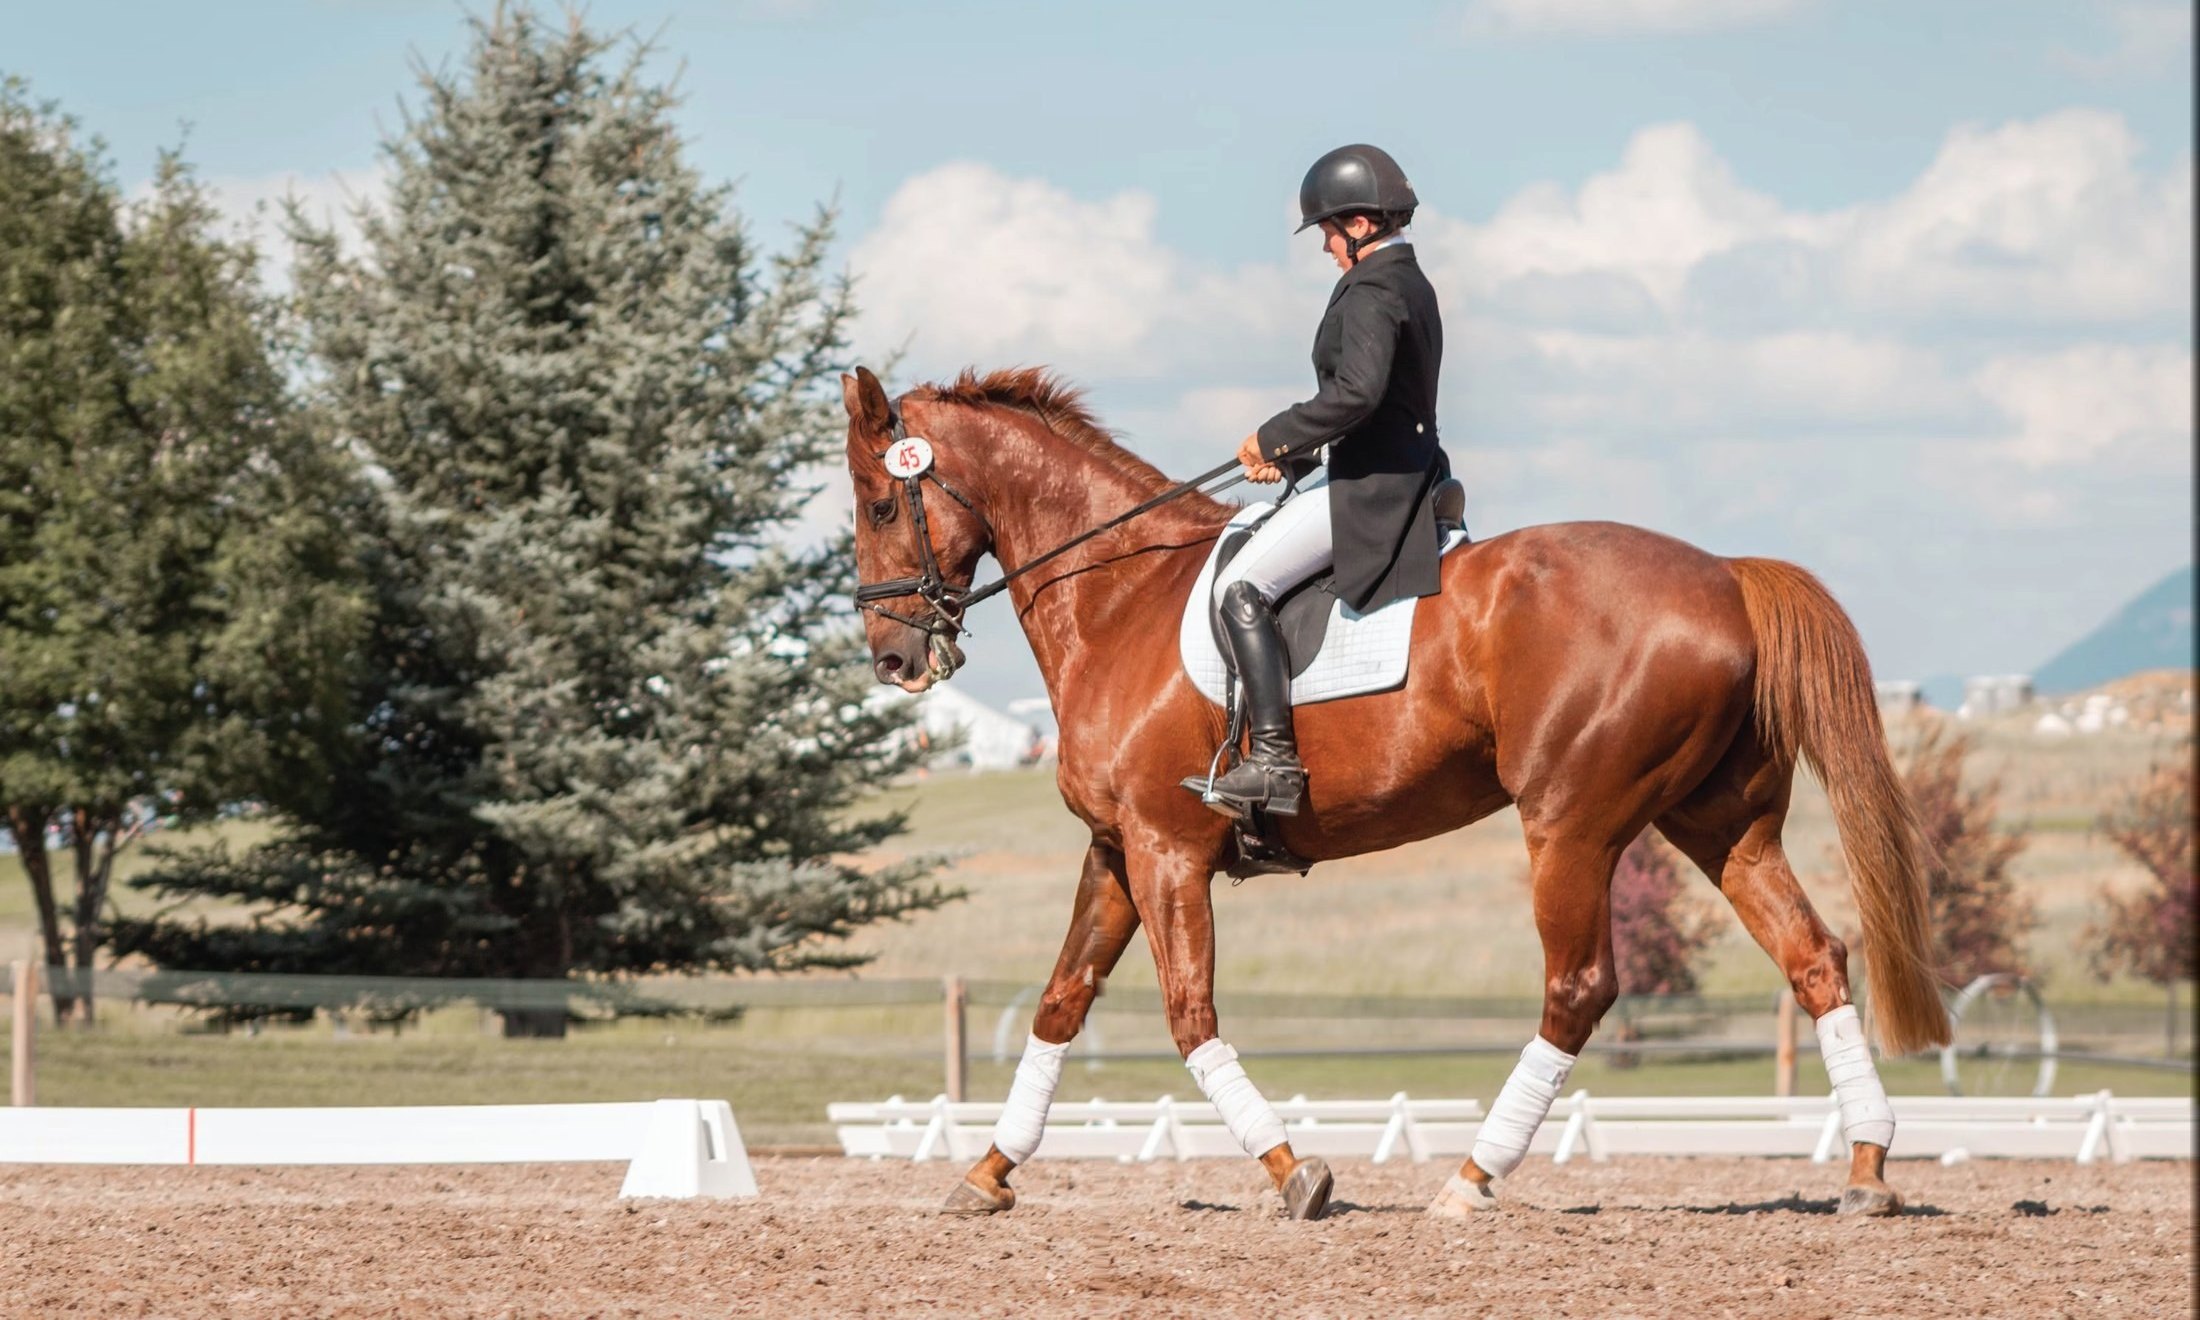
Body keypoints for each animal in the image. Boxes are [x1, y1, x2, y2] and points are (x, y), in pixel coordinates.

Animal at [840, 364, 1949, 1221]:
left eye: (882, 503)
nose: (893, 659)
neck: (1119, 597)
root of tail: (1724, 575)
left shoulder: (1166, 851)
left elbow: (1189, 1013)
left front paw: (1295, 1173)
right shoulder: (1117, 850)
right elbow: (1062, 1002)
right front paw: (987, 1174)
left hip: (1571, 825)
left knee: (1577, 989)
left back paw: (1471, 1179)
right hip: (1722, 825)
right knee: (1813, 958)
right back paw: (1866, 1168)